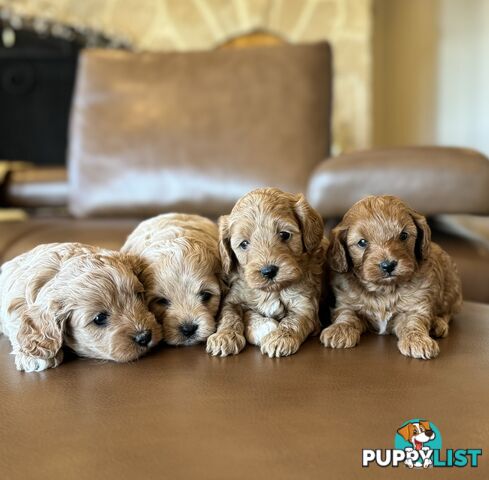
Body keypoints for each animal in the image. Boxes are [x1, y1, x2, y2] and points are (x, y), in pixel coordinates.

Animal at [206, 188, 328, 356]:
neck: (271, 291)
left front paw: (279, 338)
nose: (268, 271)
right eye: (244, 244)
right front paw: (224, 336)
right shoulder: (231, 299)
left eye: (284, 234)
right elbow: (229, 315)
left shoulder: (305, 307)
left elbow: (293, 321)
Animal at [320, 193, 462, 358]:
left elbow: (414, 321)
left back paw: (437, 323)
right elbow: (347, 314)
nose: (388, 265)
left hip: (451, 287)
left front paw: (418, 340)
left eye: (403, 236)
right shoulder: (346, 301)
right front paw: (340, 329)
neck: (384, 289)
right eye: (362, 242)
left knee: (448, 312)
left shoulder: (415, 306)